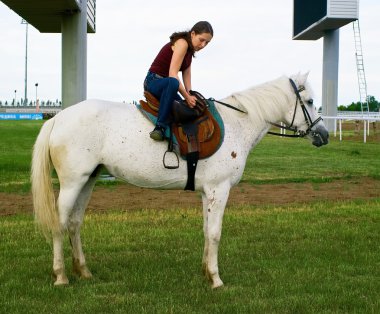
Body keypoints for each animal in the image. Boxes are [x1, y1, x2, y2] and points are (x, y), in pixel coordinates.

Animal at [31, 72, 330, 288]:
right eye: (310, 102)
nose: (324, 135)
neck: (237, 124)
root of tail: (58, 118)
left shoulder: (207, 192)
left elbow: (206, 231)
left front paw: (206, 272)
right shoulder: (219, 189)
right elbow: (215, 232)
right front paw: (216, 280)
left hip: (88, 180)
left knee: (74, 223)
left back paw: (83, 271)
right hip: (72, 182)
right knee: (59, 224)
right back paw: (61, 276)